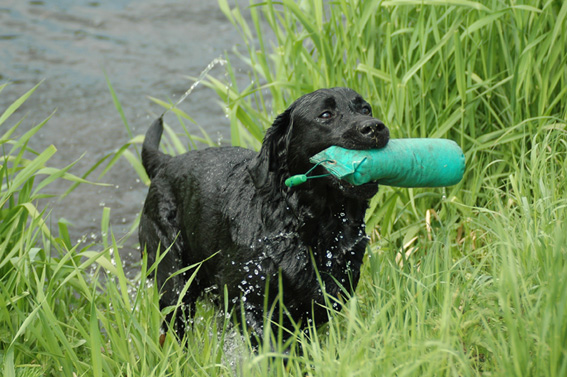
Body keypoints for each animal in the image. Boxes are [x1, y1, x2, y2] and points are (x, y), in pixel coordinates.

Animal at [139, 86, 390, 342]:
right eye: (326, 115)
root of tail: (166, 163)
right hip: (173, 279)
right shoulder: (247, 301)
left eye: (365, 109)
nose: (375, 127)